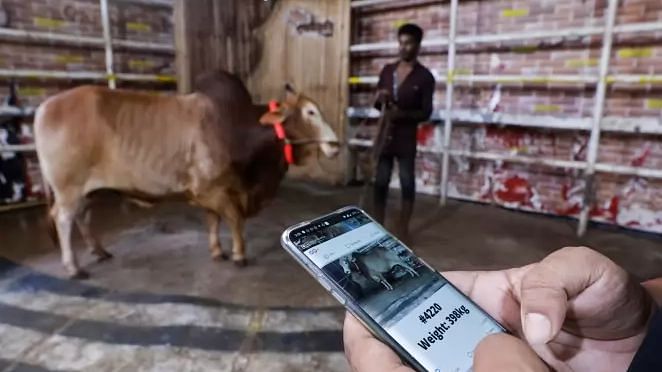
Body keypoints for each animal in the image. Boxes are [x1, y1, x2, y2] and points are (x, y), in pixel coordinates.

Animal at [33, 70, 340, 280]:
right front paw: (239, 254)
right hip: (69, 188)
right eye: (310, 112)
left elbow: (214, 220)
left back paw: (99, 251)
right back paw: (74, 267)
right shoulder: (215, 190)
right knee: (63, 219)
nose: (335, 144)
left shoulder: (216, 190)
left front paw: (218, 251)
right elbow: (235, 221)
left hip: (88, 190)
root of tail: (44, 108)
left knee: (83, 217)